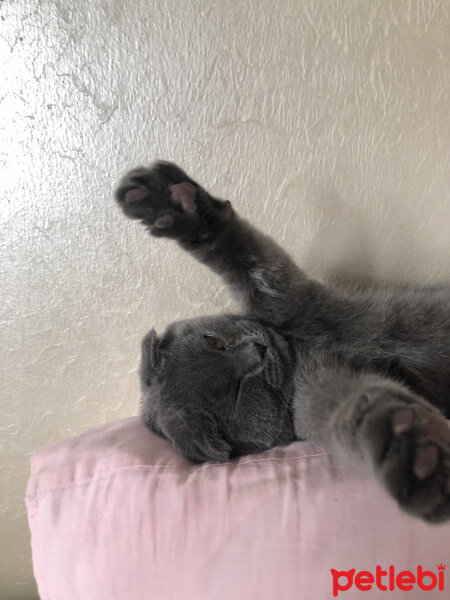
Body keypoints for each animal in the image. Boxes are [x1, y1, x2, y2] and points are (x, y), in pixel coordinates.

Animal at [114, 162, 448, 524]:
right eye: (236, 393)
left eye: (213, 341)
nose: (256, 352)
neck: (301, 354)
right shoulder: (317, 398)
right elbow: (356, 410)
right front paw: (409, 450)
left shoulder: (284, 296)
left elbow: (244, 255)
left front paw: (174, 205)